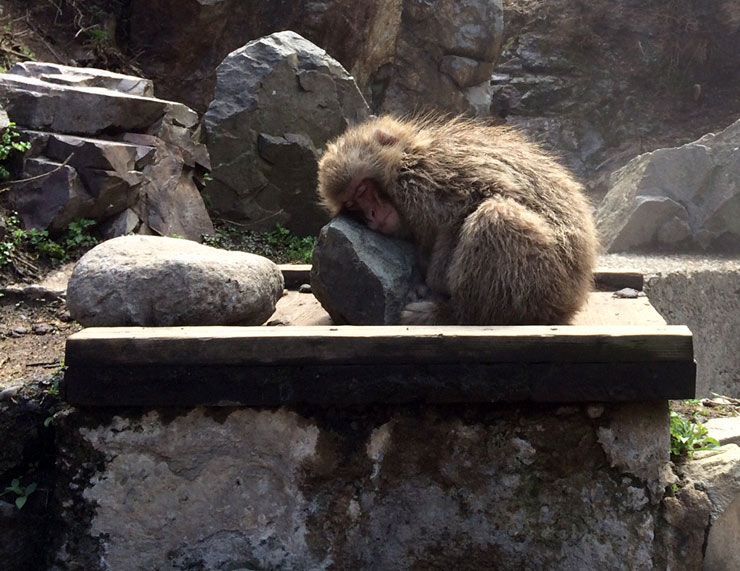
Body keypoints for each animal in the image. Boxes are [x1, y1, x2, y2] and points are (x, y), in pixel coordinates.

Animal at [316, 115, 598, 325]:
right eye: (352, 205)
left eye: (363, 190)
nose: (372, 215)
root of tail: (576, 294)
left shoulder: (422, 177)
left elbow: (474, 201)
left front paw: (434, 283)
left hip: (550, 282)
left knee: (494, 218)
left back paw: (457, 314)